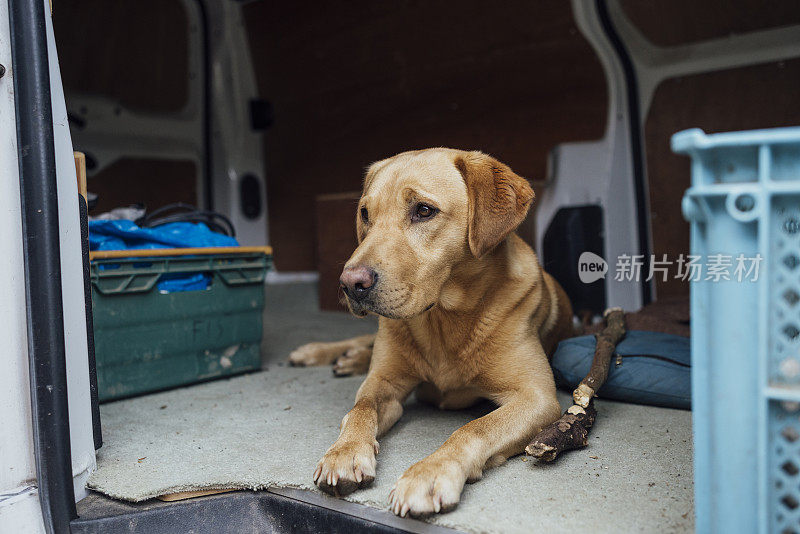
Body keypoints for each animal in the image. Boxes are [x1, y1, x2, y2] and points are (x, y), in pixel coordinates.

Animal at [290, 149, 572, 516]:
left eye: (423, 211)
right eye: (365, 214)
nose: (349, 285)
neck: (441, 321)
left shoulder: (536, 397)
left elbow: (472, 429)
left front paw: (429, 473)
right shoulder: (383, 383)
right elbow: (361, 408)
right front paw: (344, 452)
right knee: (365, 341)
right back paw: (324, 353)